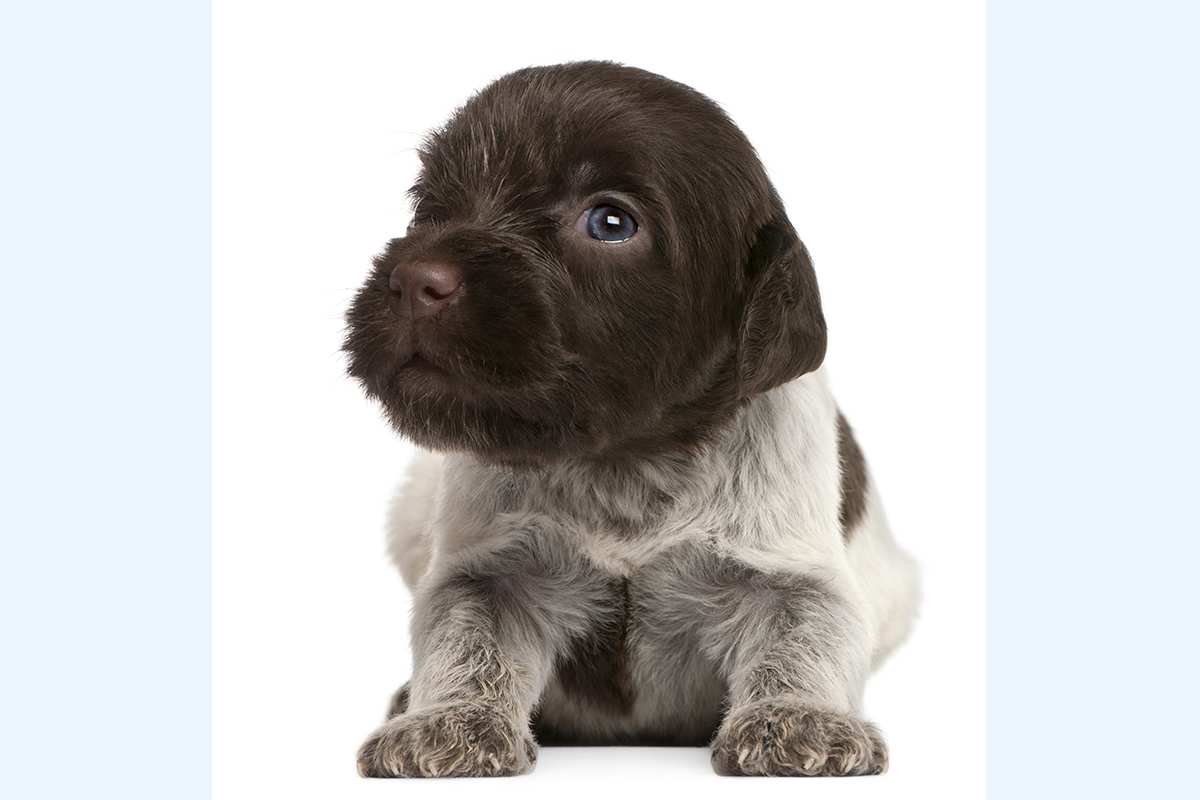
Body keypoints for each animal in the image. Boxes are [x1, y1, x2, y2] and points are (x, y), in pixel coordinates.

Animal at [345, 64, 916, 782]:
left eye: (610, 221)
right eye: (429, 206)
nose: (414, 280)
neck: (622, 457)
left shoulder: (787, 573)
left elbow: (802, 636)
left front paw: (798, 716)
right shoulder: (491, 574)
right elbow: (466, 640)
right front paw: (447, 718)